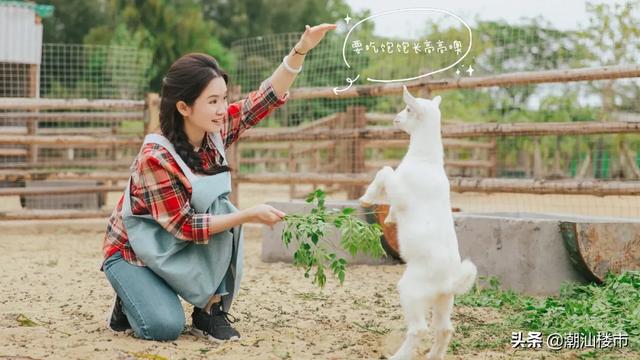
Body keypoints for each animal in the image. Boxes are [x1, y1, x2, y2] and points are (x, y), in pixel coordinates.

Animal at [360, 86, 476, 358]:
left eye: (408, 108)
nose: (396, 119)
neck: (426, 162)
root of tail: (449, 280)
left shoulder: (401, 189)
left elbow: (384, 171)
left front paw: (367, 197)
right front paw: (390, 217)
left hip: (411, 291)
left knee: (419, 329)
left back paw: (397, 356)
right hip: (444, 300)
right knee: (444, 329)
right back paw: (434, 356)